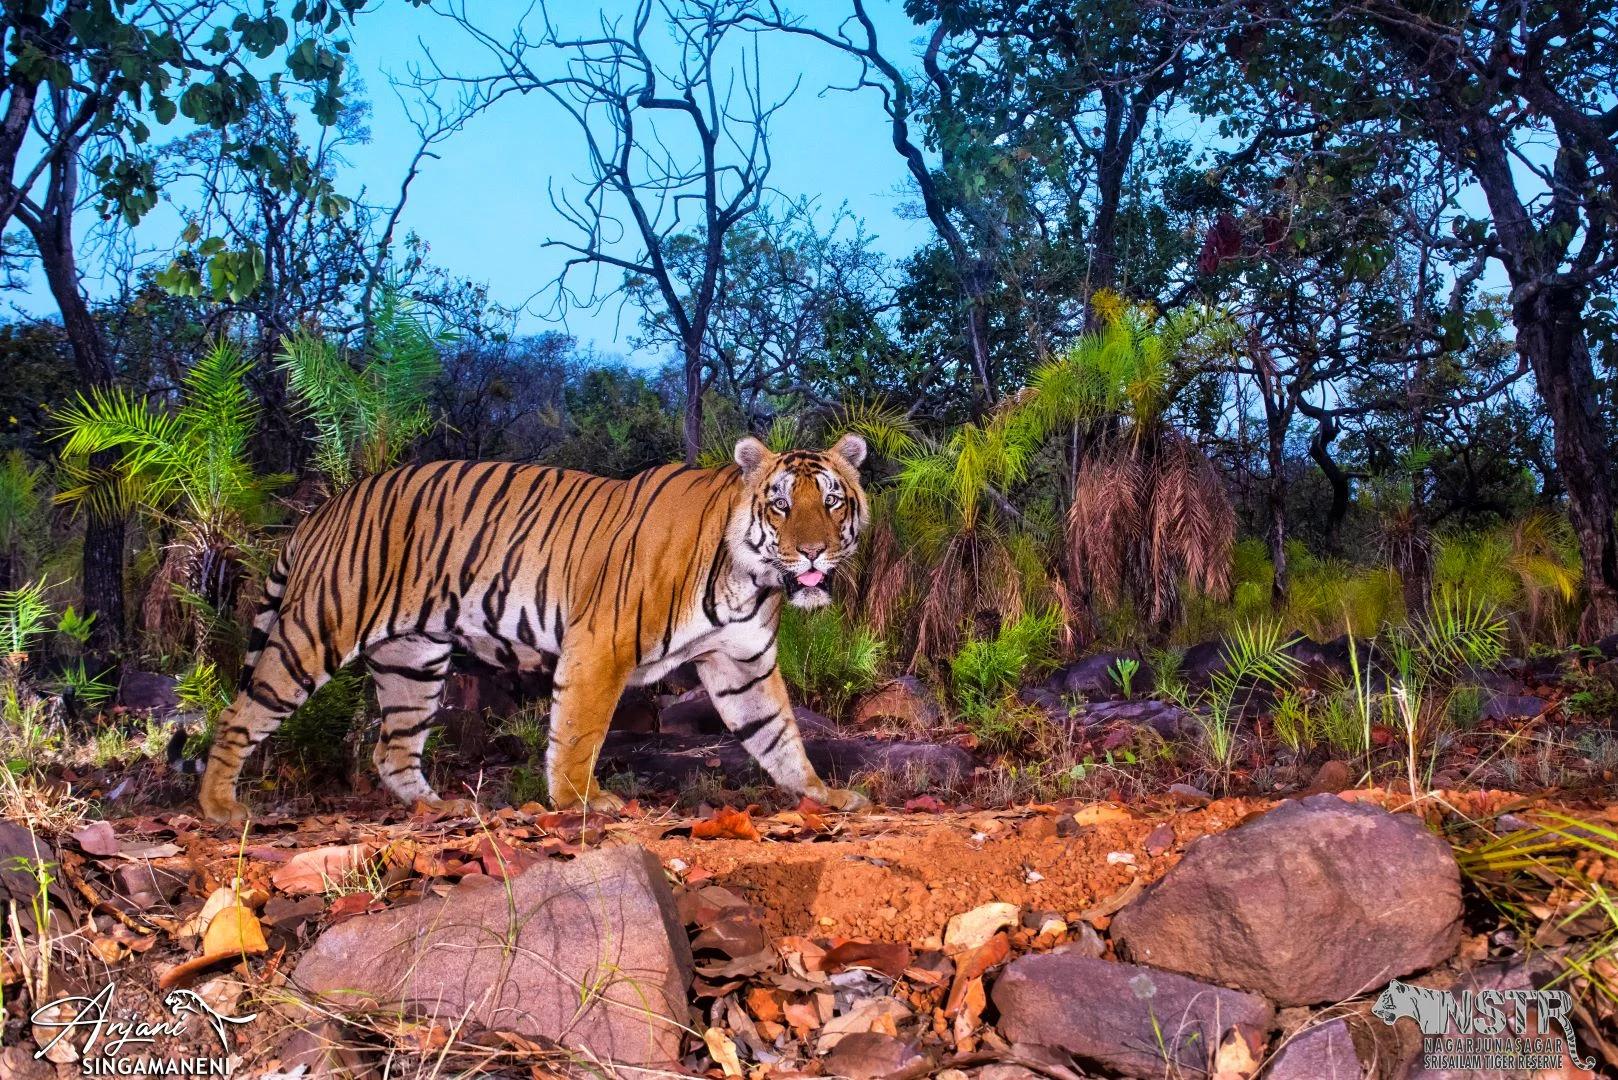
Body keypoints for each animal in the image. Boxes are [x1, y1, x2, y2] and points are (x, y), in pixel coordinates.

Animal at [177, 434, 872, 824]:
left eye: (832, 500)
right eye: (780, 504)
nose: (812, 552)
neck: (749, 577)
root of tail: (322, 511)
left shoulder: (741, 665)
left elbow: (777, 733)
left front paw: (822, 794)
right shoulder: (600, 645)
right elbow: (579, 731)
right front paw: (580, 802)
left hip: (413, 662)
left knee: (391, 747)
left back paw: (438, 808)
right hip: (316, 632)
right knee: (239, 713)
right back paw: (219, 809)